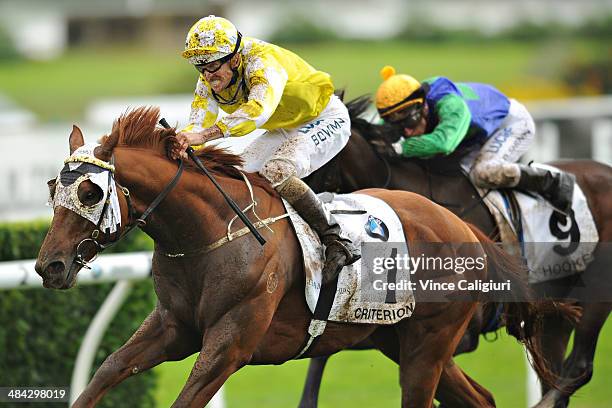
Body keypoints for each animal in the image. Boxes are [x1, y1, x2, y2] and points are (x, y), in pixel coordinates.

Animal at [34, 107, 560, 406]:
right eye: (52, 187)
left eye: (89, 191)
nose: (48, 266)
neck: (207, 238)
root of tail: (465, 226)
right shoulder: (173, 327)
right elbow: (107, 370)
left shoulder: (231, 344)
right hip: (401, 339)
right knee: (482, 398)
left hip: (428, 345)